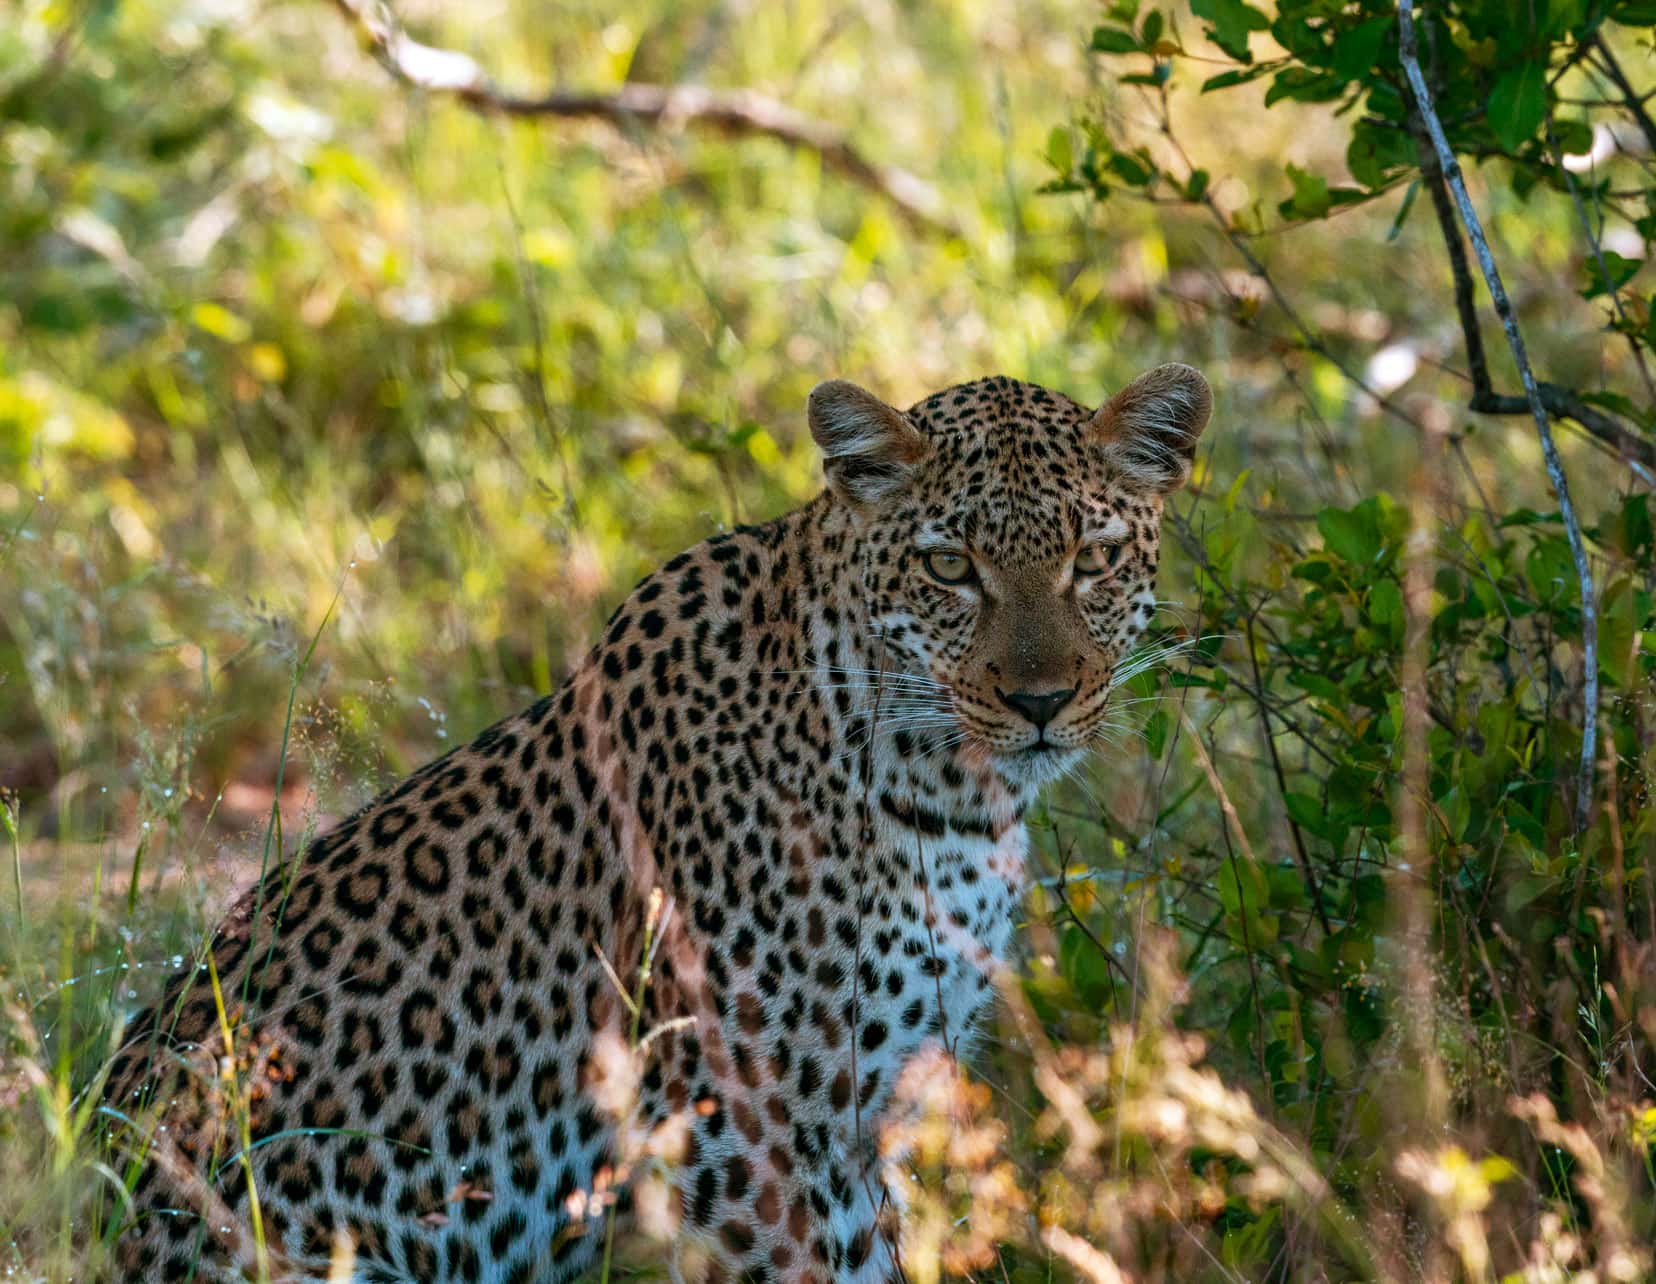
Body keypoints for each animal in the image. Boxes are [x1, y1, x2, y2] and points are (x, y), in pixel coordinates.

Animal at [103, 364, 1218, 1284]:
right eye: (950, 568)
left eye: (1095, 558)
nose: (1041, 699)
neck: (944, 797)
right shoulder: (745, 1135)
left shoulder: (870, 1118)